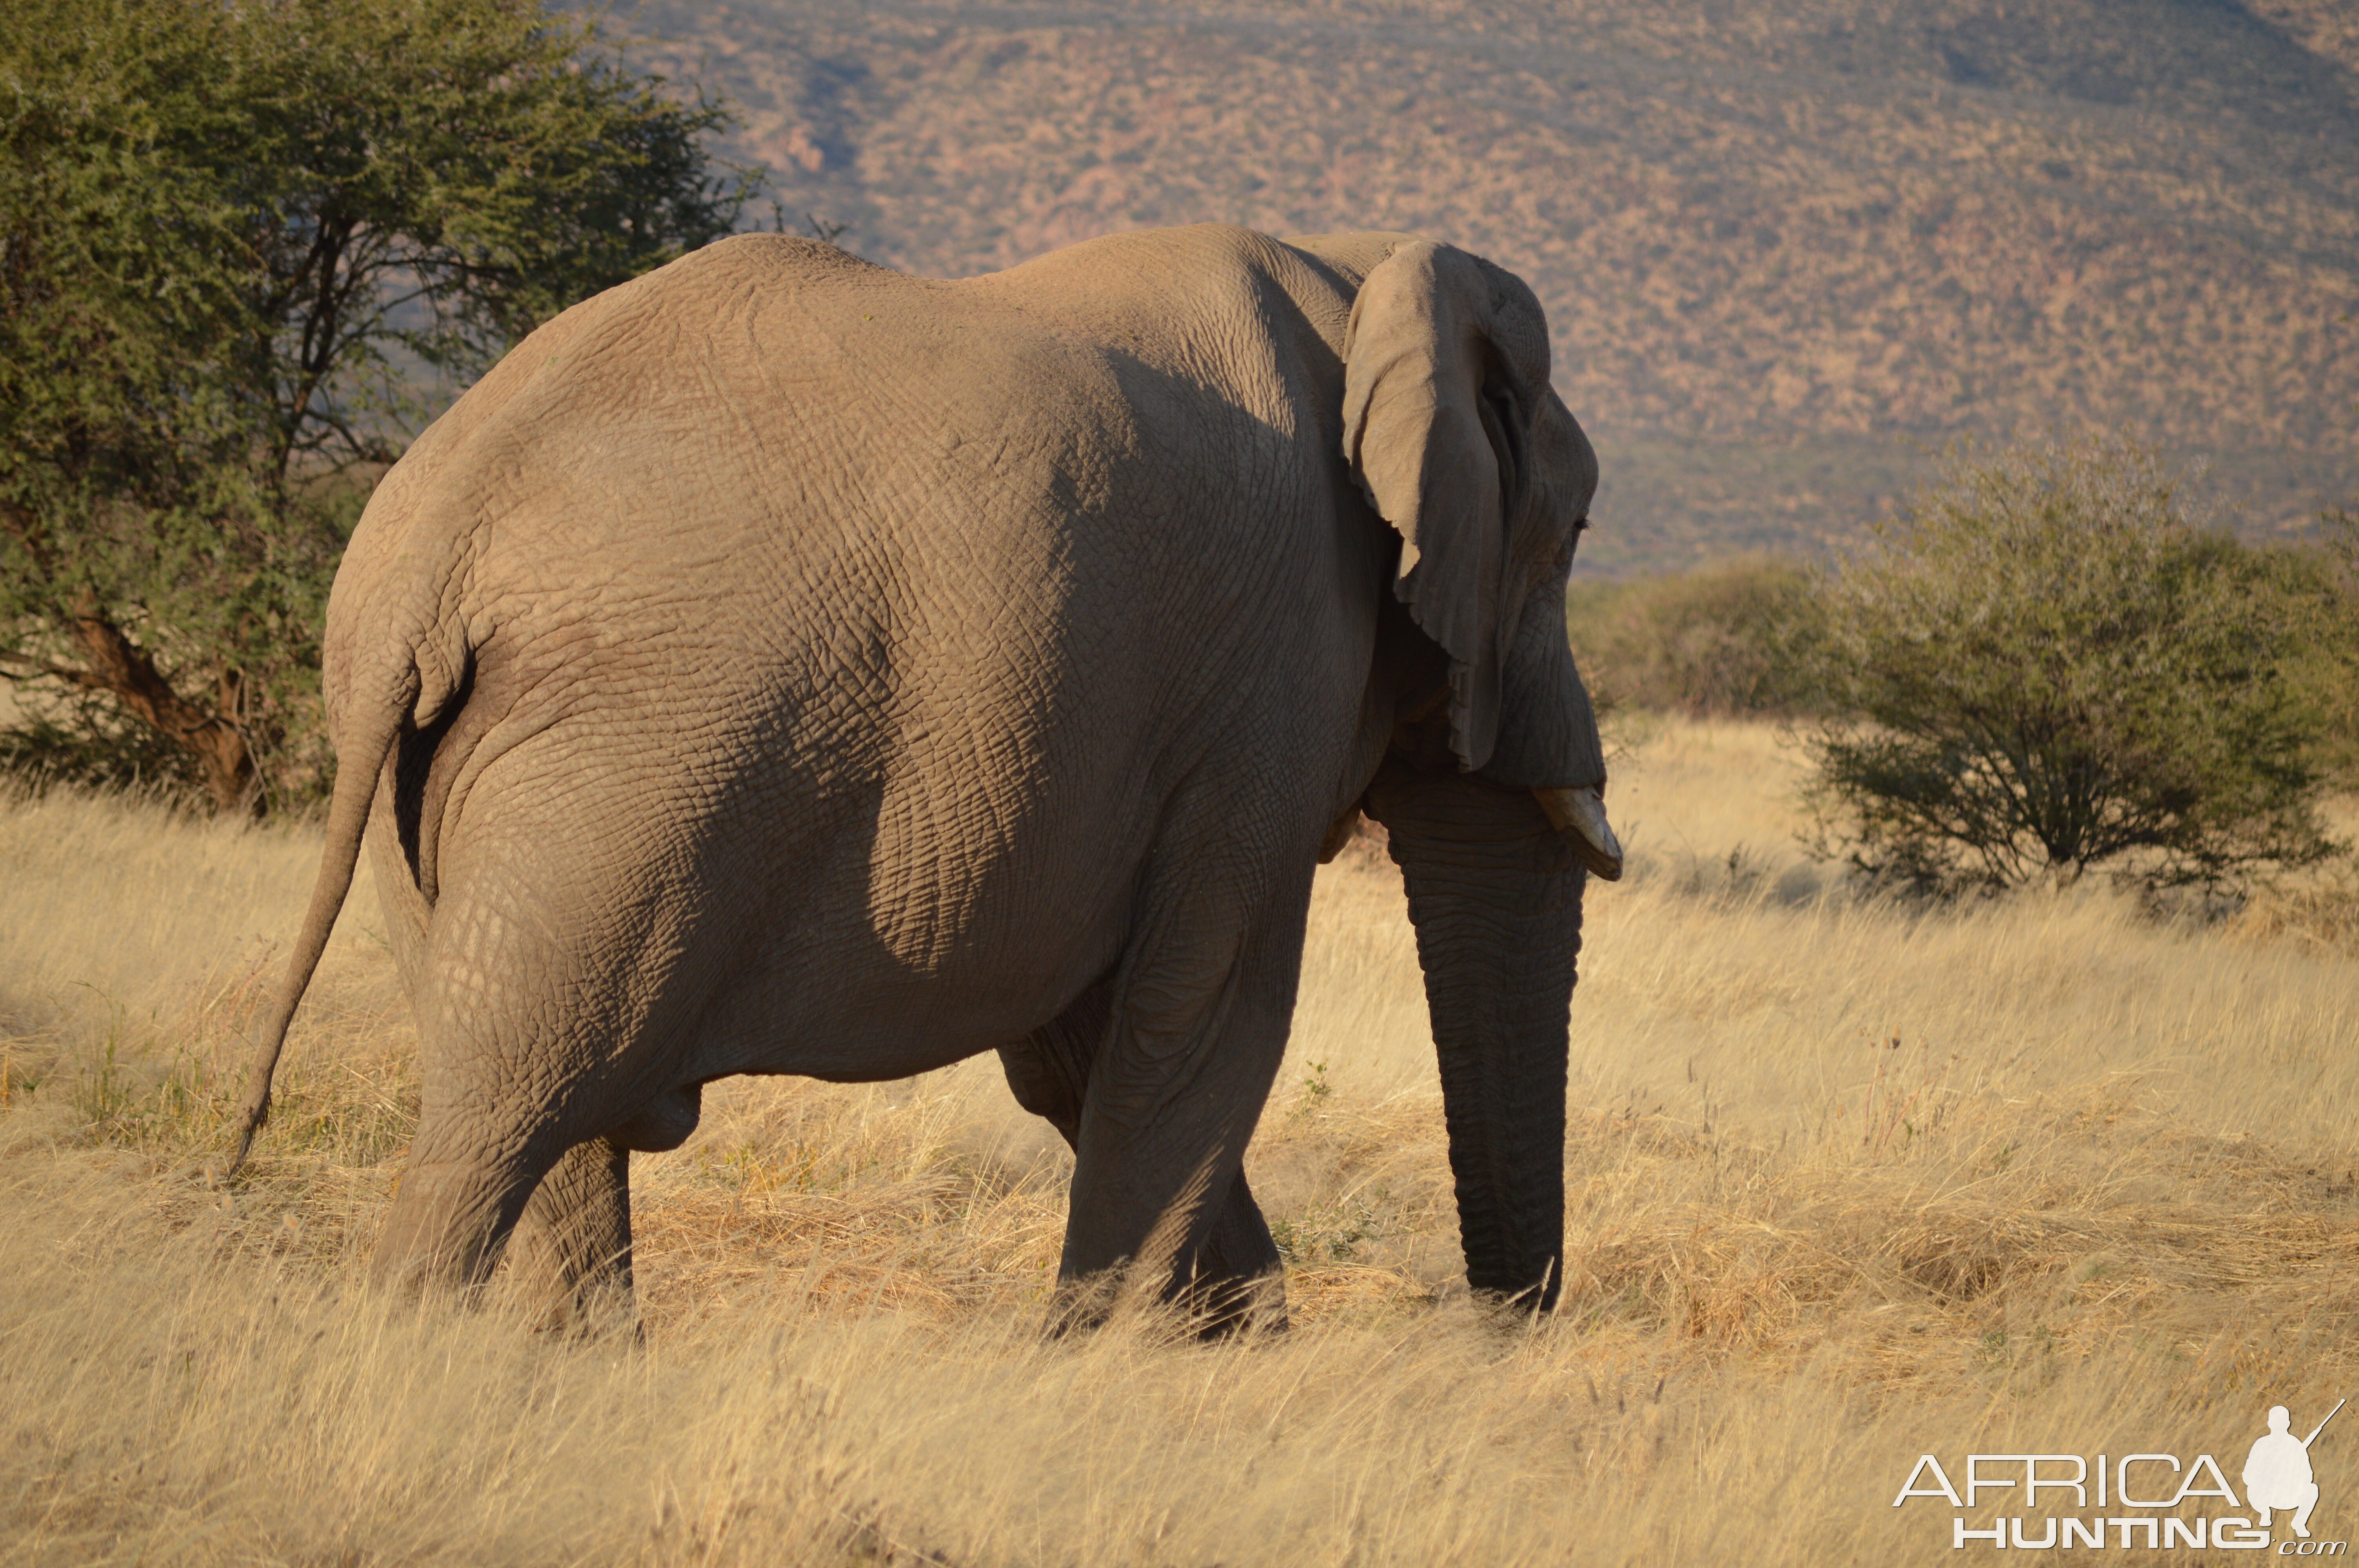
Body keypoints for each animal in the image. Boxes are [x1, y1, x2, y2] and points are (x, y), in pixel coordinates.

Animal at [225, 217, 1623, 1320]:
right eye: (1575, 533)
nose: (1488, 1335)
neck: (1362, 273)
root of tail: (442, 530)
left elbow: (1084, 1051)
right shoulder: (1274, 667)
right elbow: (1204, 1019)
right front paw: (1100, 1378)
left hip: (440, 769)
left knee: (541, 1112)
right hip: (630, 763)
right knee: (516, 1101)